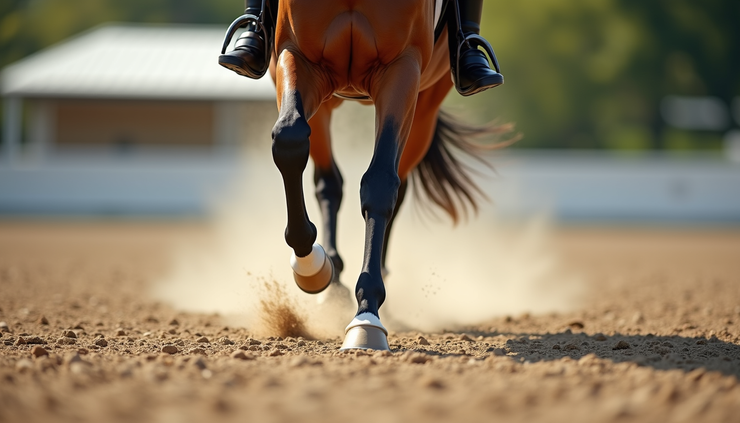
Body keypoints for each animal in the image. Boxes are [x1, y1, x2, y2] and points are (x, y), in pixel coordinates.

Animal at [253, 0, 506, 350]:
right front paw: (310, 268)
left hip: (424, 110)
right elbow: (289, 140)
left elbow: (381, 182)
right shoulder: (298, 57)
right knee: (328, 182)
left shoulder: (401, 69)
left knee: (397, 186)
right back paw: (330, 283)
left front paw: (366, 316)